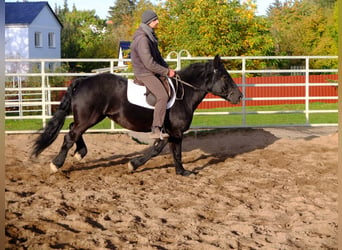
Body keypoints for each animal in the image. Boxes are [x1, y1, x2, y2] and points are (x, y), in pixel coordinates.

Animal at [31, 55, 240, 176]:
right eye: (224, 76)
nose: (239, 96)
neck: (184, 94)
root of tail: (82, 81)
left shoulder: (172, 132)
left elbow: (175, 152)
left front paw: (181, 172)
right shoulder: (173, 131)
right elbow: (159, 149)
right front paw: (134, 165)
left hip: (89, 118)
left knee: (74, 131)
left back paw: (79, 154)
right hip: (90, 118)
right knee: (71, 135)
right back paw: (56, 164)